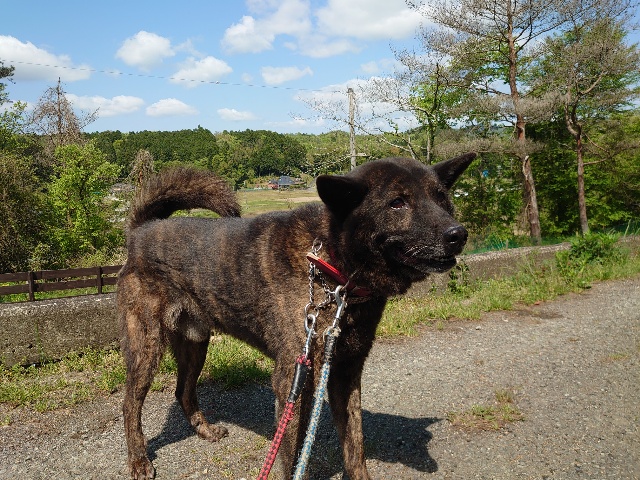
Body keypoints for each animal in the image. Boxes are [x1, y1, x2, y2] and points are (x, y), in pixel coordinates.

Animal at [118, 153, 476, 479]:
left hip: (195, 342)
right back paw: (139, 460)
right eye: (398, 203)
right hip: (147, 346)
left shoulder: (345, 372)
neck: (331, 265)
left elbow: (355, 445)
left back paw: (204, 430)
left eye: (441, 198)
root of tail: (142, 230)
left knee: (183, 391)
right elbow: (290, 457)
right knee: (130, 404)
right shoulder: (293, 378)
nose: (458, 234)